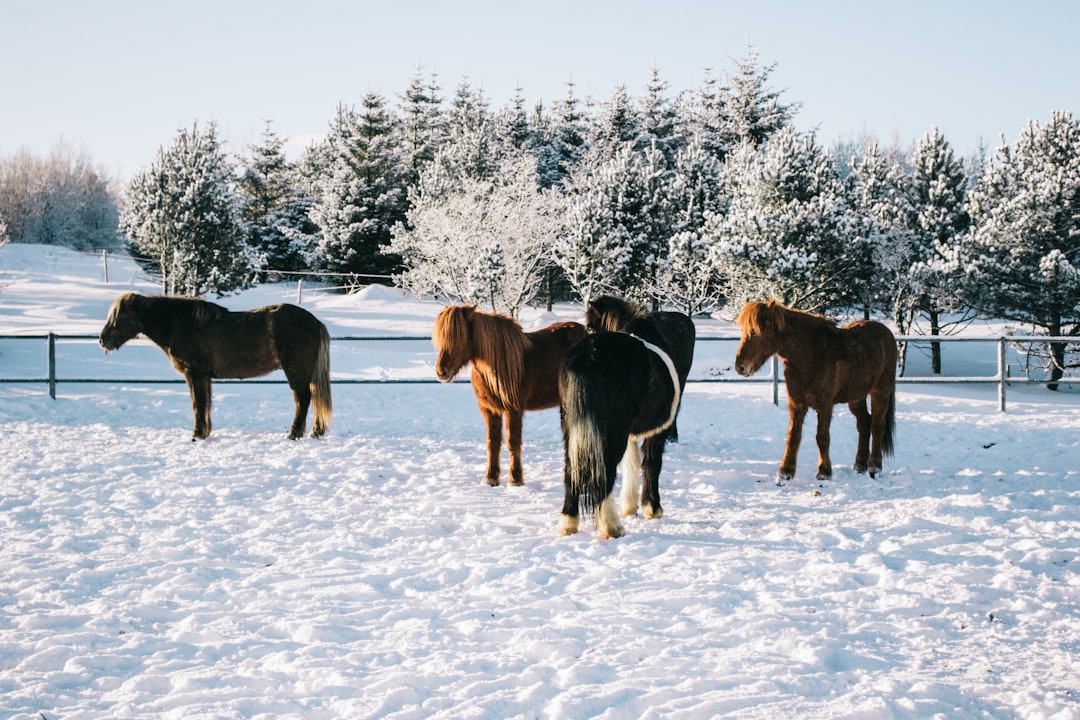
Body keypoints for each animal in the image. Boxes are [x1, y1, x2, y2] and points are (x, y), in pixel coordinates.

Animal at [100, 291, 332, 440]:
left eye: (119, 316)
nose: (102, 340)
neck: (181, 325)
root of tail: (314, 322)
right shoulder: (204, 377)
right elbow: (205, 404)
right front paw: (205, 432)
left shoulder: (194, 374)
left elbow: (198, 404)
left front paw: (197, 435)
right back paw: (313, 432)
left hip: (296, 372)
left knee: (302, 399)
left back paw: (294, 434)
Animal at [429, 306, 587, 487]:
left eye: (459, 336)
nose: (441, 372)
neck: (494, 367)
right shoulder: (490, 410)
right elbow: (493, 443)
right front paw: (490, 478)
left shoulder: (513, 410)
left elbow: (513, 442)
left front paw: (515, 479)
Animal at [561, 295, 695, 537]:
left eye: (589, 326)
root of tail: (590, 355)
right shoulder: (657, 431)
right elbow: (651, 464)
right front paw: (652, 508)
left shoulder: (631, 434)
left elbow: (631, 464)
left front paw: (630, 507)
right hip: (613, 432)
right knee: (604, 473)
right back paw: (612, 527)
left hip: (571, 428)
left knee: (571, 471)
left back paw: (568, 523)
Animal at [730, 297, 898, 483]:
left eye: (757, 331)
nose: (740, 367)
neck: (811, 356)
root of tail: (887, 333)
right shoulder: (796, 403)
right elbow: (793, 436)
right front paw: (785, 472)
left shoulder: (825, 405)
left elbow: (822, 437)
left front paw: (824, 473)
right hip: (856, 397)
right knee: (864, 423)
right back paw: (860, 465)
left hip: (880, 392)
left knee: (877, 425)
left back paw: (874, 467)